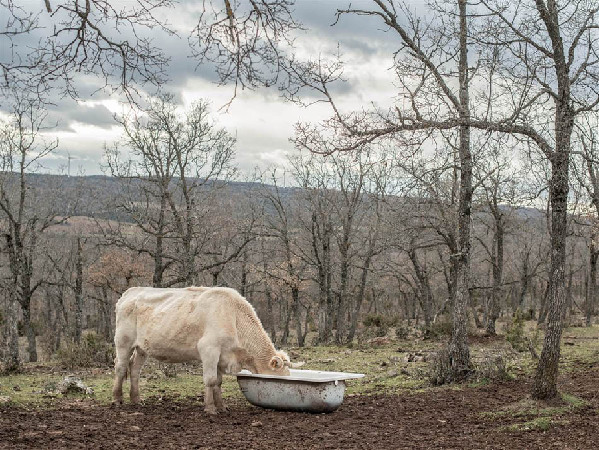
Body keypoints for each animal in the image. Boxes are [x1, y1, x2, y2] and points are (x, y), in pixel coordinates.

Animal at [112, 286, 296, 414]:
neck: (234, 316)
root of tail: (131, 292)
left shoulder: (222, 356)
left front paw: (221, 407)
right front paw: (210, 408)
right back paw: (117, 399)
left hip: (142, 347)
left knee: (134, 369)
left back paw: (136, 399)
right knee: (120, 367)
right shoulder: (209, 350)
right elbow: (210, 380)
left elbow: (218, 382)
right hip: (123, 341)